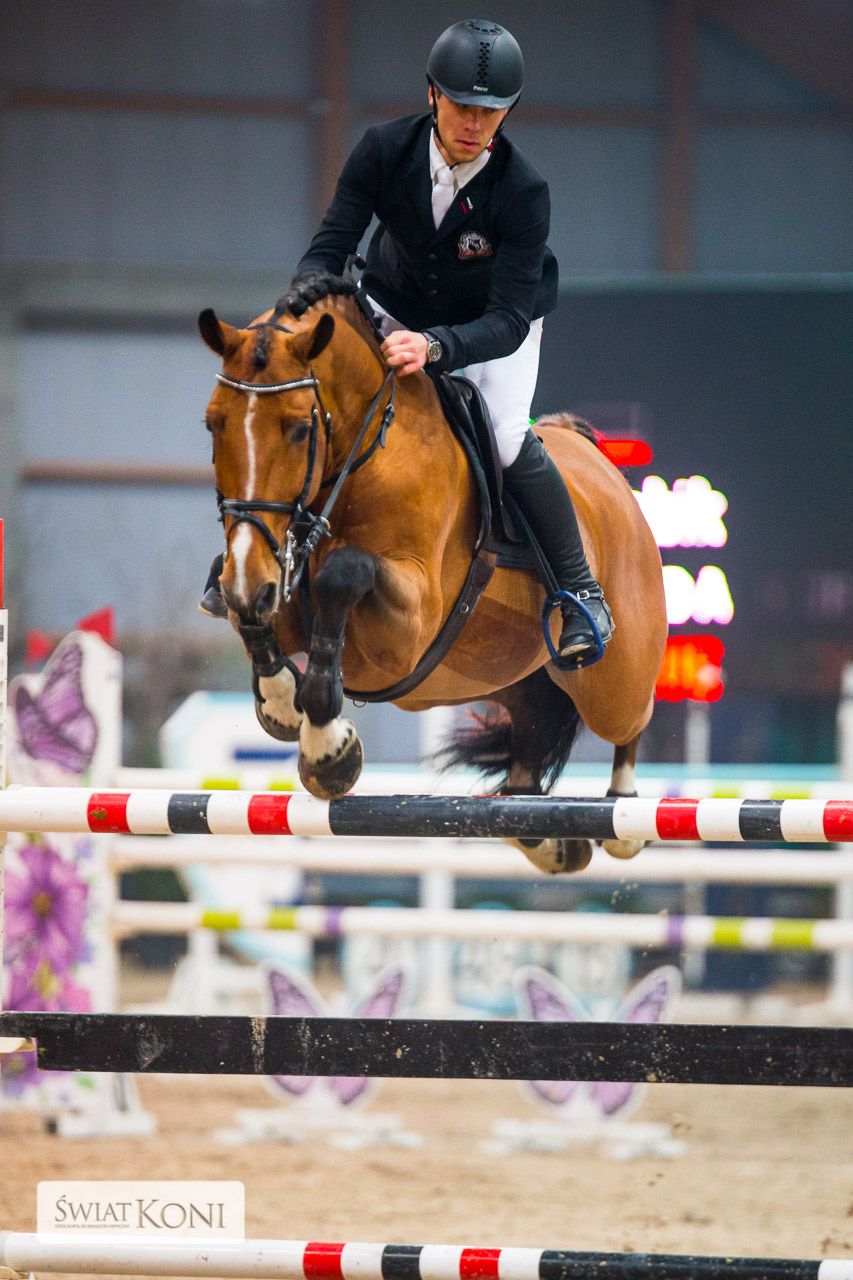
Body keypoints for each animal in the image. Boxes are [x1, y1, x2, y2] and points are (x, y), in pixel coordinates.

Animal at [198, 276, 667, 874]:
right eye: (213, 423)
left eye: (301, 430)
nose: (249, 582)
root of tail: (597, 459)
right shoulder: (265, 578)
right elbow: (249, 612)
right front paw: (281, 703)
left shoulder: (407, 630)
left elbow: (343, 573)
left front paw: (328, 749)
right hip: (507, 673)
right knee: (525, 762)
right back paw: (555, 842)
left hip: (616, 683)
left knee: (630, 722)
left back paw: (622, 815)